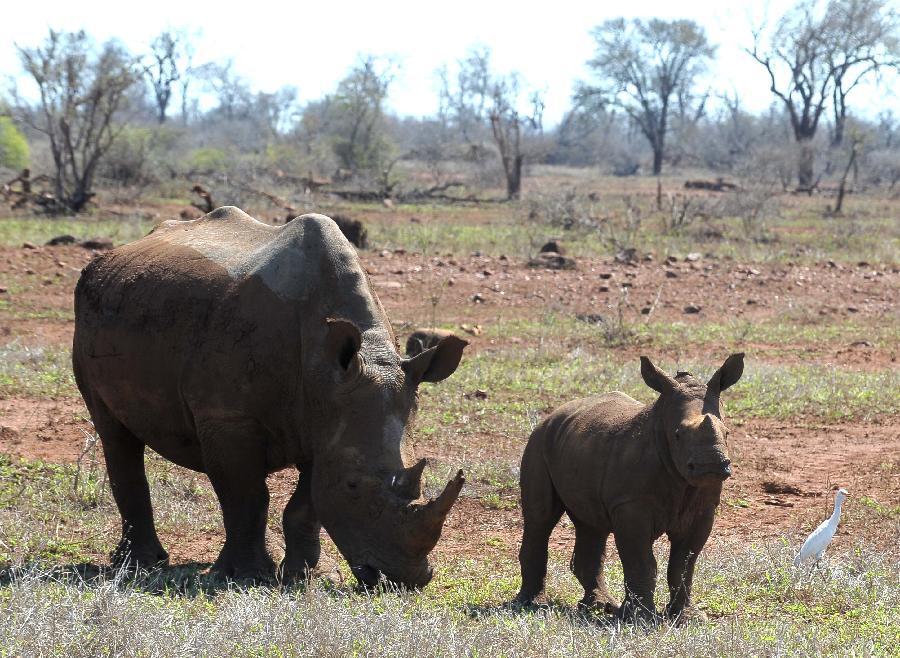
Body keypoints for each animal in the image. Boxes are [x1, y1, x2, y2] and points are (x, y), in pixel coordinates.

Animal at [516, 354, 740, 620]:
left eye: (727, 433)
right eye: (677, 434)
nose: (711, 466)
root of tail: (553, 414)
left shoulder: (703, 508)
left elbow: (685, 562)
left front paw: (687, 617)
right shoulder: (629, 504)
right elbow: (641, 560)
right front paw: (639, 618)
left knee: (591, 525)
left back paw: (599, 606)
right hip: (538, 441)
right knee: (540, 519)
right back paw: (531, 605)